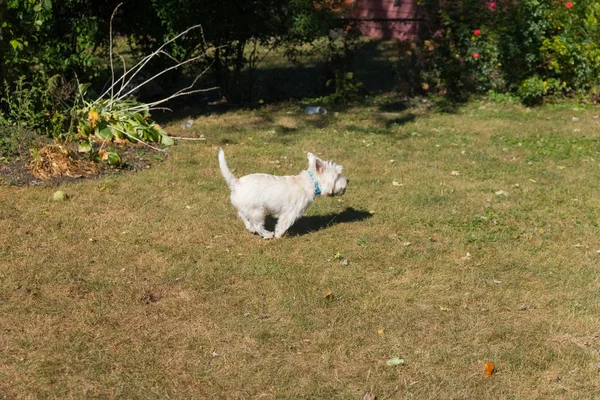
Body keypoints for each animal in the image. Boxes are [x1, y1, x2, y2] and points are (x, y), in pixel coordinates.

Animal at [217, 149, 346, 238]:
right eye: (338, 175)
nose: (348, 180)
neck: (310, 182)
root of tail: (236, 183)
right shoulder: (290, 212)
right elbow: (283, 224)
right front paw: (278, 235)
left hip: (248, 208)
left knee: (244, 217)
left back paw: (251, 228)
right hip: (257, 210)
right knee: (258, 224)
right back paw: (268, 234)